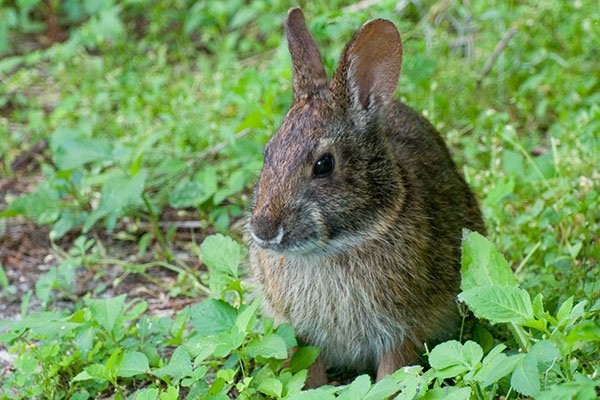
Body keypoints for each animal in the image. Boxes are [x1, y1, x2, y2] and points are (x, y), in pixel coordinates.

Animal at [246, 7, 486, 388]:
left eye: (324, 165)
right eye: (268, 152)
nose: (264, 231)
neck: (338, 245)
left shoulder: (401, 329)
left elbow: (393, 371)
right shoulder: (298, 334)